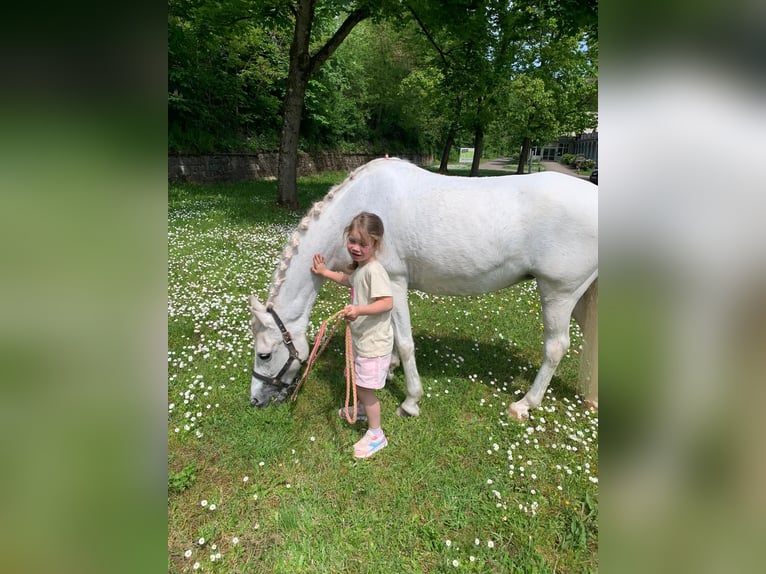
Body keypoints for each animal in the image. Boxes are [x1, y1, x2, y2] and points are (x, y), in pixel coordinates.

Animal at [250, 159, 600, 424]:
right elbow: (393, 335)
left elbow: (405, 343)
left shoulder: (394, 281)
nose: (255, 401)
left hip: (559, 292)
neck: (360, 205)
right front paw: (390, 369)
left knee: (556, 347)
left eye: (263, 353)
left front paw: (410, 401)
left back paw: (525, 404)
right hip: (582, 297)